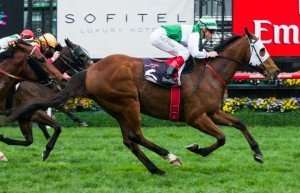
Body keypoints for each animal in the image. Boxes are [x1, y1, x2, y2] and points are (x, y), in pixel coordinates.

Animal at [5, 28, 282, 175]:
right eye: (262, 49)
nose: (276, 71)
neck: (210, 73)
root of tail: (92, 70)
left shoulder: (212, 112)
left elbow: (240, 124)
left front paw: (258, 153)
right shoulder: (195, 117)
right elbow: (222, 138)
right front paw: (197, 149)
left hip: (115, 107)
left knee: (129, 140)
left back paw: (155, 168)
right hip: (129, 102)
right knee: (137, 135)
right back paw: (169, 157)